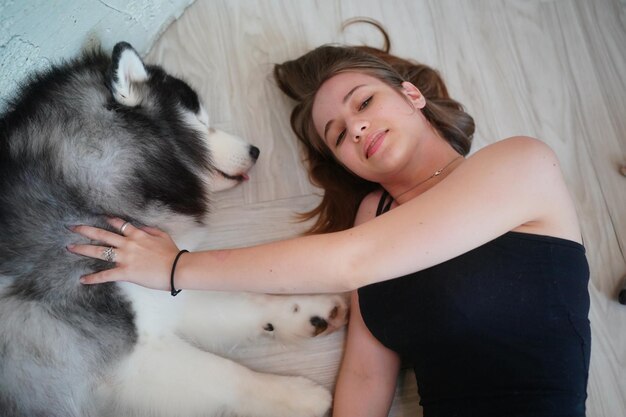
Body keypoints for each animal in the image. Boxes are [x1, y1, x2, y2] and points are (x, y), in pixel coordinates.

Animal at [0, 42, 346, 416]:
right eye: (201, 122)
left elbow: (245, 301)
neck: (85, 195)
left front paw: (308, 311)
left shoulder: (158, 280)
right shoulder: (126, 362)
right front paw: (295, 395)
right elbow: (227, 374)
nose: (255, 150)